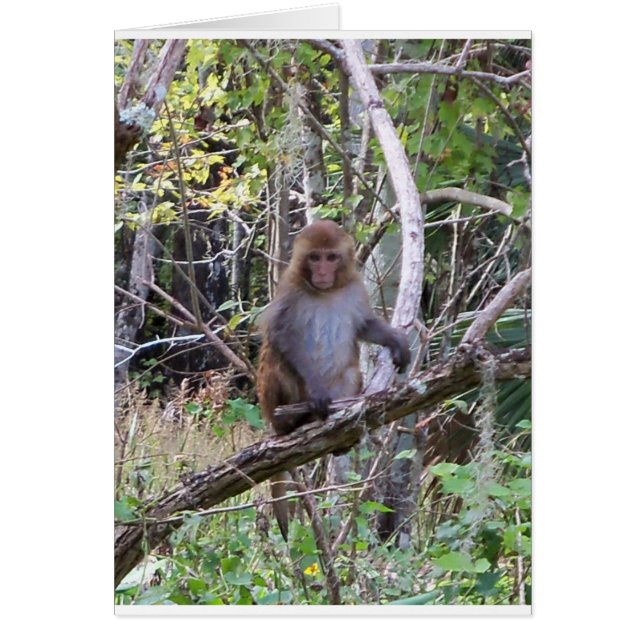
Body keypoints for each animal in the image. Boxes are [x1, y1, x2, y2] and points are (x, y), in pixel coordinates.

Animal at [257, 219, 410, 540]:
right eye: (314, 258)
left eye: (331, 257)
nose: (323, 273)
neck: (324, 292)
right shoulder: (289, 290)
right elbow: (281, 336)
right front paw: (316, 391)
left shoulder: (354, 286)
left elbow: (364, 325)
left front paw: (395, 340)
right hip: (271, 400)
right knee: (276, 357)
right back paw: (293, 421)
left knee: (350, 372)